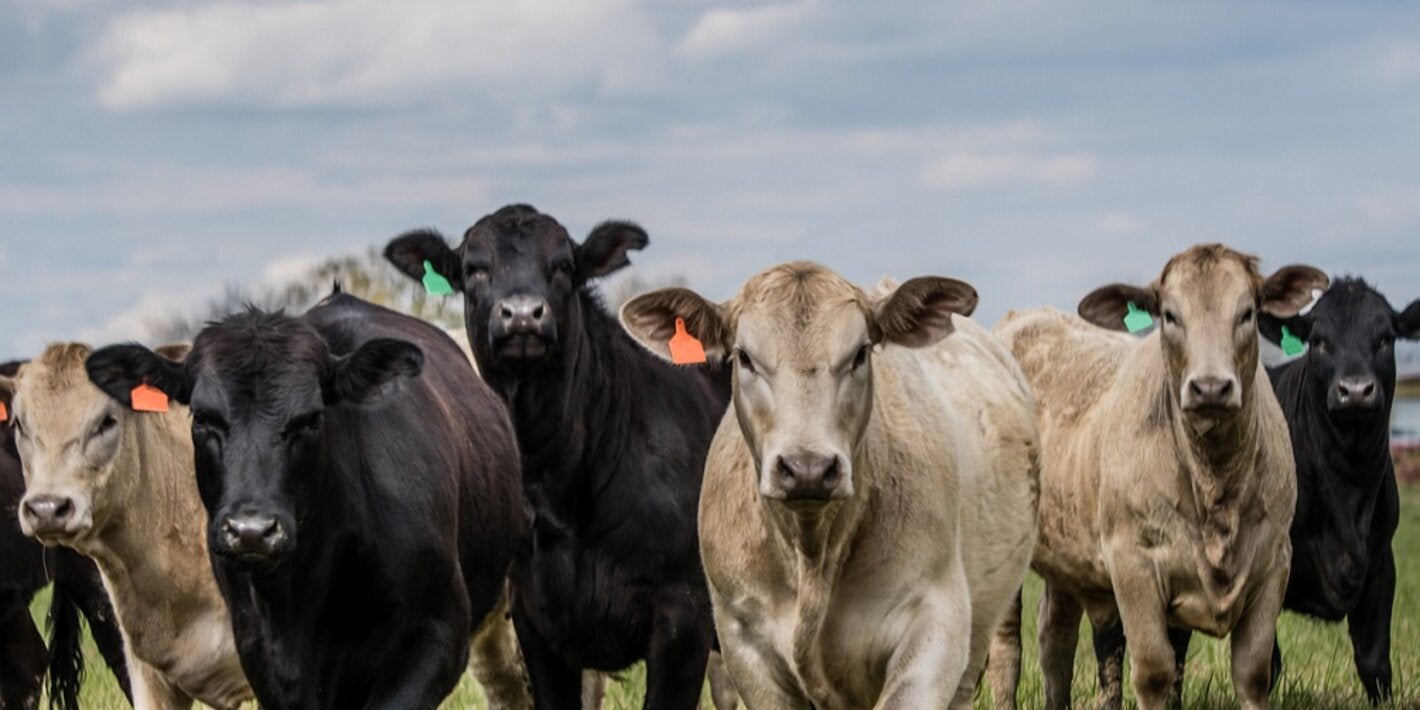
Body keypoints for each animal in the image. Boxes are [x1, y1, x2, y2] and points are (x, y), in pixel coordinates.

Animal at [620, 262, 1041, 709]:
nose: (808, 468)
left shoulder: (935, 625)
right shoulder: (743, 641)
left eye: (860, 353)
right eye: (744, 357)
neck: (813, 555)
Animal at [993, 243, 1327, 710]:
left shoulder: (1273, 562)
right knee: (1007, 647)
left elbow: (1252, 673)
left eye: (1247, 313)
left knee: (1055, 637)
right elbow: (1154, 673)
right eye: (1170, 315)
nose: (1210, 388)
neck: (1215, 484)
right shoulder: (1133, 564)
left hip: (1067, 556)